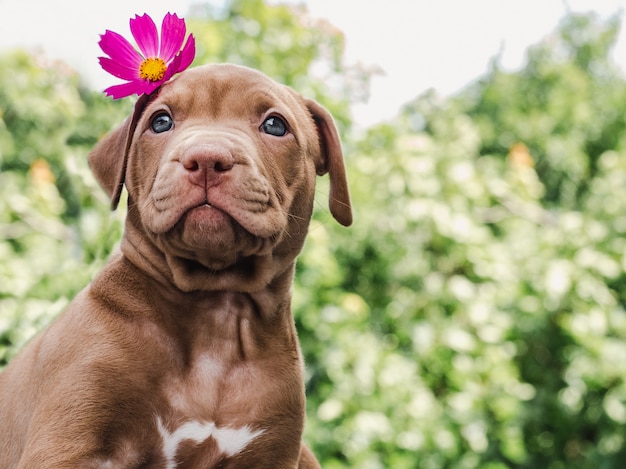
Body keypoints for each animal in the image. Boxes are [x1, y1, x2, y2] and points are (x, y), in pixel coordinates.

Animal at [0, 63, 352, 468]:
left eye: (276, 125)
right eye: (161, 121)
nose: (206, 159)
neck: (216, 313)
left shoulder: (272, 452)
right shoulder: (66, 444)